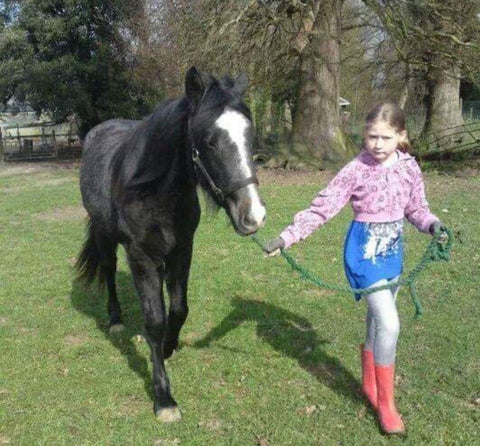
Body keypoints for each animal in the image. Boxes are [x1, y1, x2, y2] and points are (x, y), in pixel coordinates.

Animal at [75, 66, 266, 422]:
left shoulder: (182, 251)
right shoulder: (141, 256)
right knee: (108, 271)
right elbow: (154, 319)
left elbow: (178, 309)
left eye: (250, 136)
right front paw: (163, 397)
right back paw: (116, 321)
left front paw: (166, 348)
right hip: (106, 237)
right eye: (209, 141)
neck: (154, 191)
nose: (254, 216)